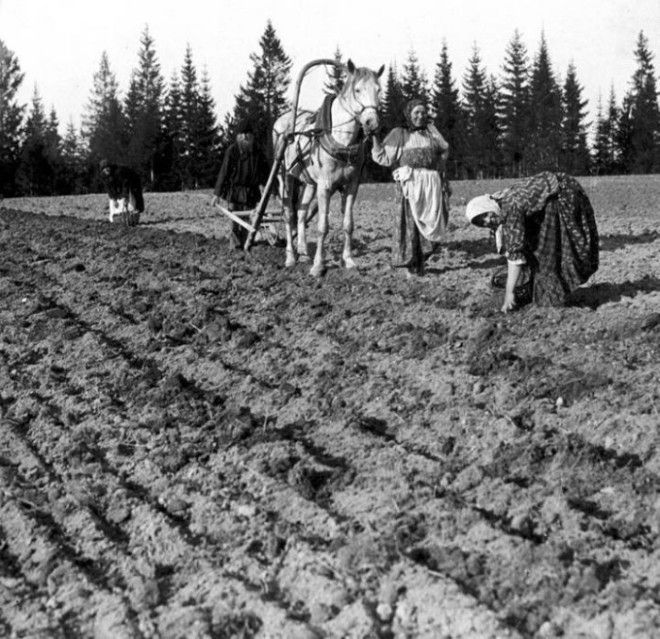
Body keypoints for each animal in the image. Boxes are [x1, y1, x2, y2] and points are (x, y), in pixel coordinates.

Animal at [274, 60, 384, 278]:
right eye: (357, 90)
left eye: (379, 90)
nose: (372, 123)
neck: (341, 140)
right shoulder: (324, 186)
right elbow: (322, 226)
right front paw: (318, 266)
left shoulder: (352, 186)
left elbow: (348, 224)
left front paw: (348, 261)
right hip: (285, 177)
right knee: (288, 214)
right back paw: (290, 257)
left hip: (309, 183)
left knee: (301, 213)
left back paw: (303, 253)